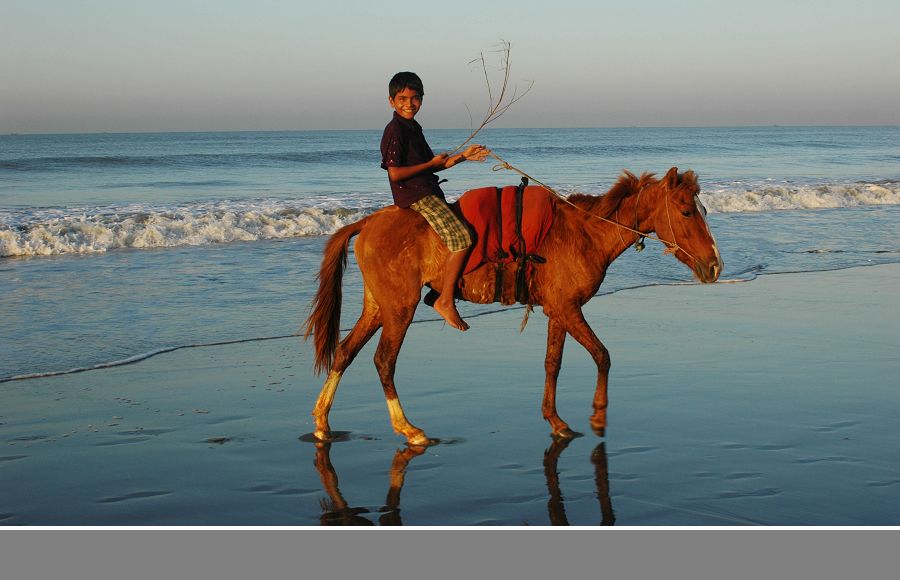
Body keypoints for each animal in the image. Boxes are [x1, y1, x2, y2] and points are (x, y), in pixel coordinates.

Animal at [306, 167, 720, 444]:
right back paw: (408, 428)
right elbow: (602, 355)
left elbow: (553, 363)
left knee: (345, 352)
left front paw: (555, 421)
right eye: (686, 211)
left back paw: (323, 422)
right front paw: (599, 415)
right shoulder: (569, 310)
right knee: (383, 361)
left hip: (379, 307)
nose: (715, 265)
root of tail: (366, 223)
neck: (586, 233)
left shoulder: (560, 310)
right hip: (399, 309)